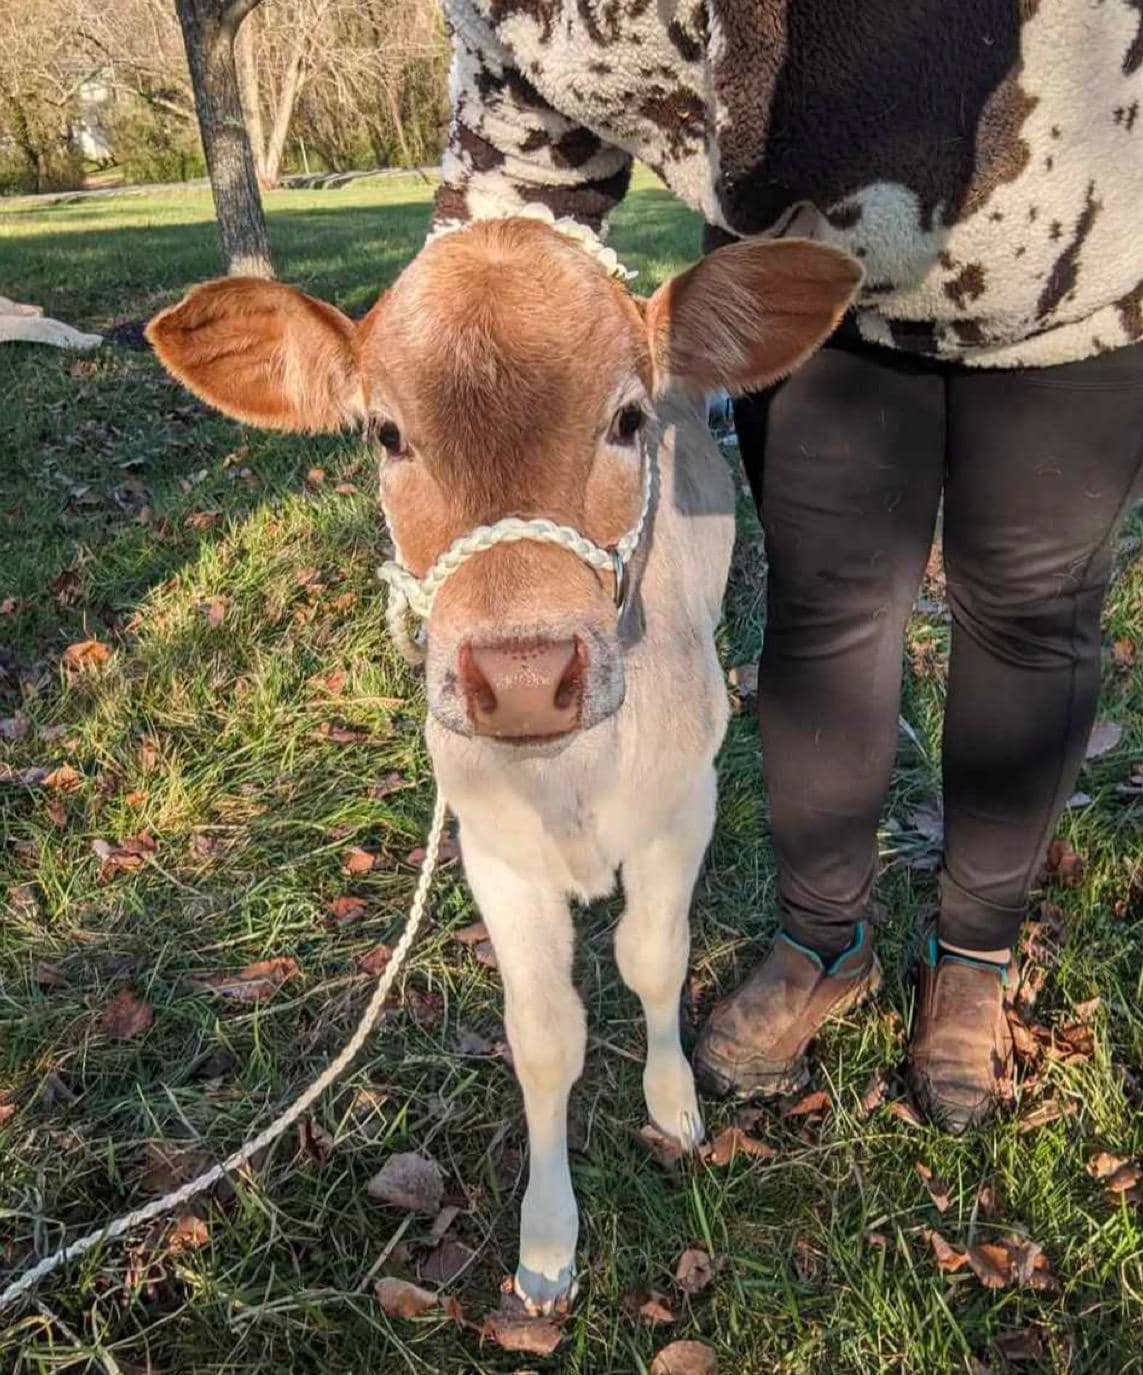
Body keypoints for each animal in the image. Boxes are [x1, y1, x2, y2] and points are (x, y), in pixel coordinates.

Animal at [145, 217, 861, 1312]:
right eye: (387, 434)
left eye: (627, 418)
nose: (523, 678)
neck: (571, 780)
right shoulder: (491, 842)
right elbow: (544, 1033)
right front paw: (546, 1245)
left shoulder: (683, 802)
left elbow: (654, 959)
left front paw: (673, 1103)